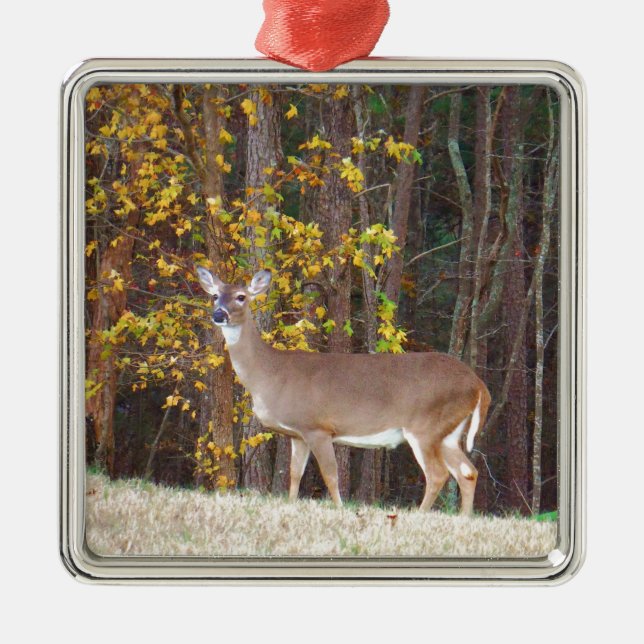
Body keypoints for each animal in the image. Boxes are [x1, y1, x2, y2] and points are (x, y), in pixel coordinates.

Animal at [196, 267, 491, 515]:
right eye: (214, 295)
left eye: (241, 297)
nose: (219, 314)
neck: (270, 374)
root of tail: (478, 385)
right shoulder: (298, 433)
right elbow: (294, 474)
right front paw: (292, 504)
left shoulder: (318, 427)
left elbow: (331, 474)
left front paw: (339, 509)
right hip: (448, 432)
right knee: (467, 471)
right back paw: (464, 518)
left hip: (425, 426)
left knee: (438, 474)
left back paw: (420, 515)